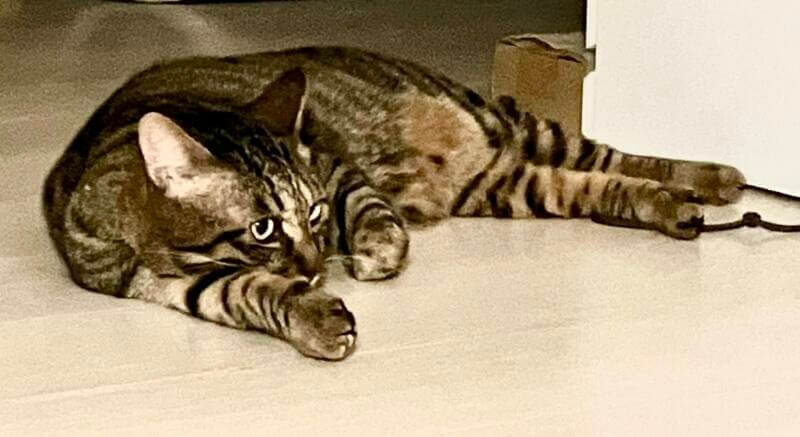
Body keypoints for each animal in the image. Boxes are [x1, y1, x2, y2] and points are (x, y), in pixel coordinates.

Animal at [43, 46, 745, 360]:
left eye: (314, 213)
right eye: (263, 228)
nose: (316, 265)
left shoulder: (336, 168)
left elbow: (371, 209)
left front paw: (377, 251)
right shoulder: (156, 282)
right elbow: (248, 292)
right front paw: (313, 316)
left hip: (514, 125)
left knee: (615, 157)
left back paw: (712, 176)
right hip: (508, 184)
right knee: (601, 184)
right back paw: (675, 205)